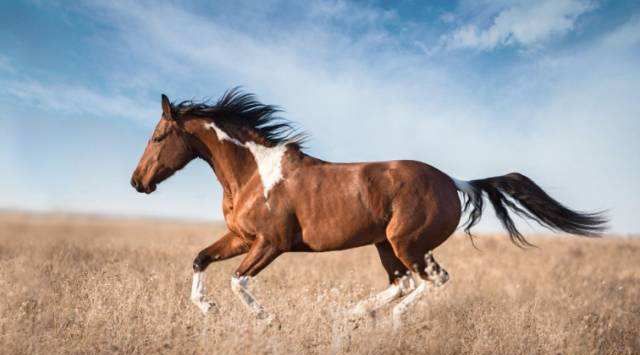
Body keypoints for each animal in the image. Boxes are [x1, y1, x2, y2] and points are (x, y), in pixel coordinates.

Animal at [130, 89, 604, 328]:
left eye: (157, 136)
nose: (138, 182)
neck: (253, 173)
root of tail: (455, 181)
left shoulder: (271, 243)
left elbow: (237, 281)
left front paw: (268, 320)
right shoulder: (241, 237)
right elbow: (200, 259)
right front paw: (206, 308)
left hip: (407, 242)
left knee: (431, 280)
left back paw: (388, 320)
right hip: (385, 244)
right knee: (404, 282)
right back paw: (354, 313)